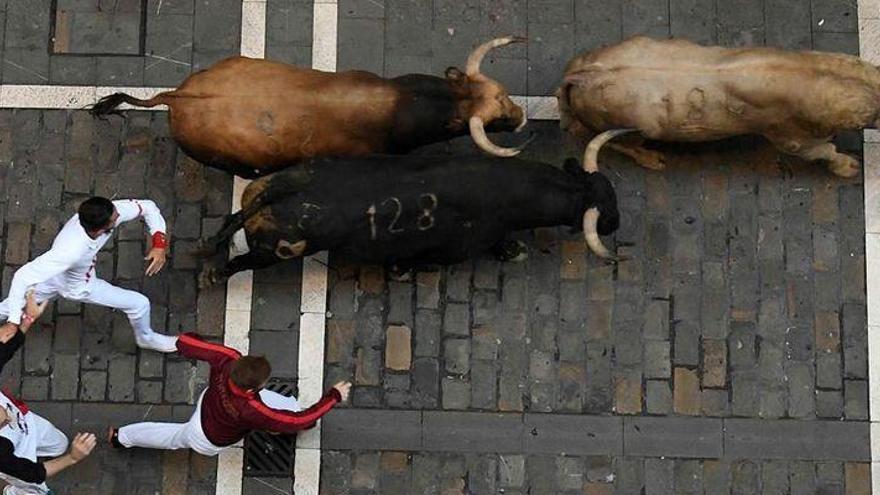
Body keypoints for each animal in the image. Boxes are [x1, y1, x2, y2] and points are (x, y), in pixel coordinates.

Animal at [196, 155, 624, 286]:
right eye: (603, 209)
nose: (616, 223)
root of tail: (277, 194)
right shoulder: (454, 250)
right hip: (273, 253)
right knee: (240, 262)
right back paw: (214, 275)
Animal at [556, 36, 880, 177]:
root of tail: (581, 75)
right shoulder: (790, 140)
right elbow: (823, 152)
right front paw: (847, 166)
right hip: (632, 128)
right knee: (616, 143)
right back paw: (652, 159)